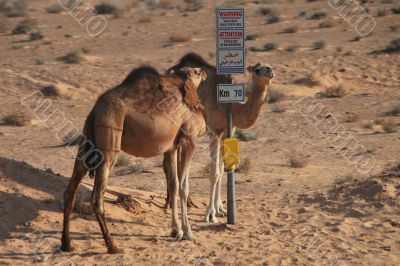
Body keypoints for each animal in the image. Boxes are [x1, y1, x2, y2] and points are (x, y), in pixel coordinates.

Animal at [61, 65, 209, 254]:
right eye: (196, 72)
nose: (204, 72)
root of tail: (95, 111)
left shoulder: (171, 147)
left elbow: (174, 185)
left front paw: (176, 231)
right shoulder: (189, 139)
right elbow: (183, 186)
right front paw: (188, 233)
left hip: (86, 140)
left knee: (70, 191)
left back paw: (67, 244)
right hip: (109, 139)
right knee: (96, 198)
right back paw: (113, 246)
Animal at [165, 52, 276, 222]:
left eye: (268, 65)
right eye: (257, 69)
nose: (270, 70)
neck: (232, 107)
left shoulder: (226, 132)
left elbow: (222, 170)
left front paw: (221, 209)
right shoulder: (214, 131)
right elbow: (214, 173)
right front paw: (210, 214)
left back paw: (179, 203)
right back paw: (170, 205)